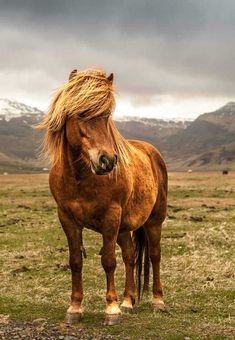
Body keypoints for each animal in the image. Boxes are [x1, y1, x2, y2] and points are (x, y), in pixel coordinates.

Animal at [37, 67, 168, 326]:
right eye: (80, 113)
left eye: (107, 115)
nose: (107, 160)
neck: (81, 177)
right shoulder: (67, 218)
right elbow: (75, 261)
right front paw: (75, 308)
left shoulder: (110, 217)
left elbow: (108, 261)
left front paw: (112, 309)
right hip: (124, 228)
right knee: (130, 256)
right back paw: (128, 301)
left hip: (153, 221)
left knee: (154, 255)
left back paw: (157, 301)